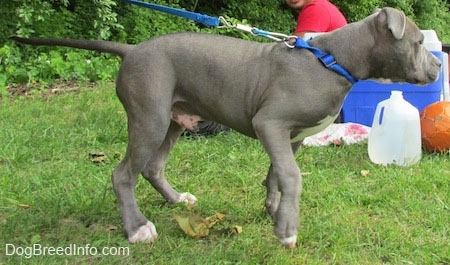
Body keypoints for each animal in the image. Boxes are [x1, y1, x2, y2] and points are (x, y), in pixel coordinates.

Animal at [13, 8, 440, 248]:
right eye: (418, 41)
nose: (437, 66)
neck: (332, 60)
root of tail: (132, 50)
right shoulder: (271, 123)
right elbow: (292, 177)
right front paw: (287, 229)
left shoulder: (291, 137)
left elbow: (276, 175)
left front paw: (273, 211)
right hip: (149, 117)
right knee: (123, 175)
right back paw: (137, 229)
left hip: (175, 119)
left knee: (152, 166)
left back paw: (176, 200)